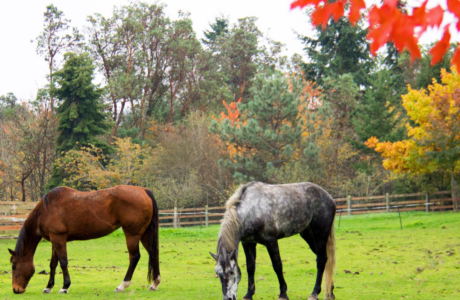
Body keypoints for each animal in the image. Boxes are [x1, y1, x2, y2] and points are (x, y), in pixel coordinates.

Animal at [5, 184, 162, 294]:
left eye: (14, 266)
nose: (15, 289)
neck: (45, 210)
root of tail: (143, 190)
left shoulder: (59, 239)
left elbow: (63, 263)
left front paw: (65, 287)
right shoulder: (55, 241)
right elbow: (53, 264)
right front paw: (48, 287)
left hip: (132, 234)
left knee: (134, 257)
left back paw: (122, 285)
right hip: (144, 234)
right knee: (153, 253)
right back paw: (154, 284)